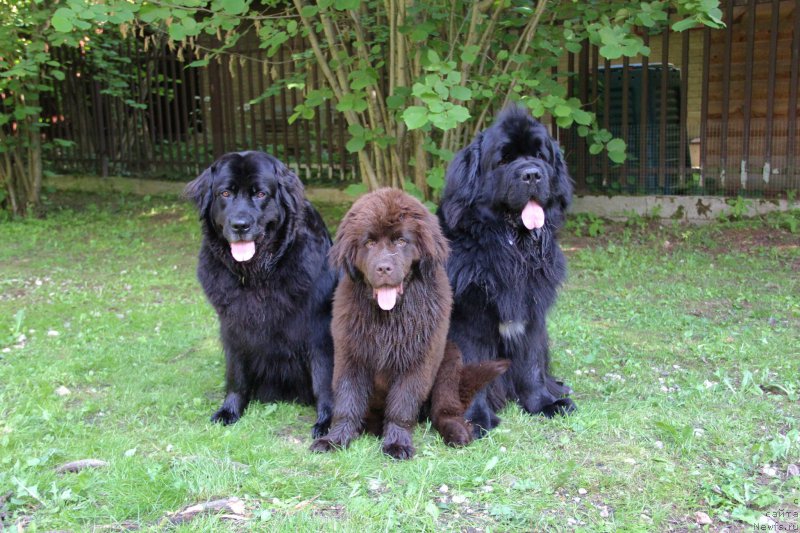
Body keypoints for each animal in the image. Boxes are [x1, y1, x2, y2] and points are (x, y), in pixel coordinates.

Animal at [184, 150, 334, 436]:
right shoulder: (233, 327)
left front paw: (328, 423)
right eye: (225, 193)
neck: (259, 275)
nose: (240, 225)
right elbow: (236, 375)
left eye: (261, 194)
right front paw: (229, 410)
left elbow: (325, 381)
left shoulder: (319, 331)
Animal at [310, 187, 506, 458]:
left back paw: (457, 432)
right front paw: (335, 439)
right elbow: (347, 402)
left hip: (449, 360)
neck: (389, 317)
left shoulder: (417, 359)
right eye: (369, 243)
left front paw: (397, 443)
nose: (384, 268)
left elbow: (401, 407)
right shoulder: (351, 354)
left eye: (401, 242)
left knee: (444, 410)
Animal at [438, 105, 576, 436]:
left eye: (540, 156)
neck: (512, 252)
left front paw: (544, 403)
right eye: (503, 160)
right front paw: (474, 419)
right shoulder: (468, 323)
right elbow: (472, 369)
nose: (532, 174)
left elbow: (532, 366)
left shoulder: (532, 316)